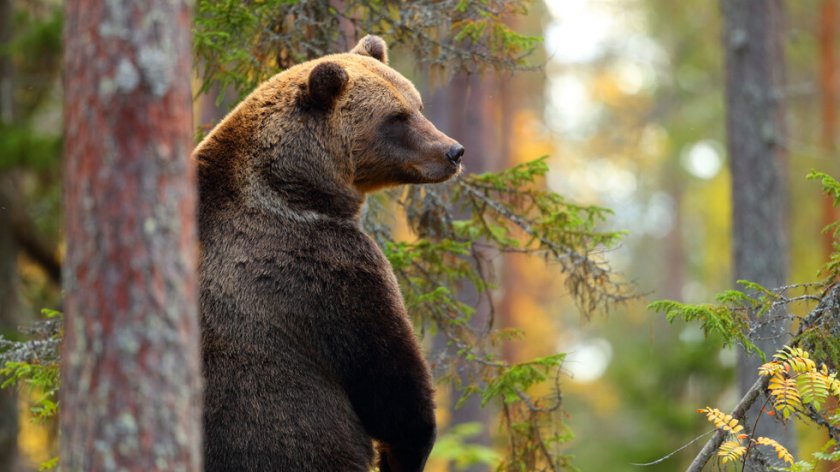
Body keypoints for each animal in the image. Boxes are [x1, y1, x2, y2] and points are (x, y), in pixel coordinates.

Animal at [194, 34, 462, 472]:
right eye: (396, 117)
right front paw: (404, 451)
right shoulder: (326, 266)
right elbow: (391, 383)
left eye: (418, 105)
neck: (300, 187)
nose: (453, 151)